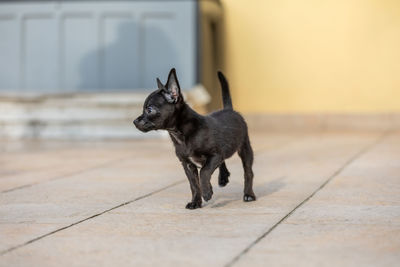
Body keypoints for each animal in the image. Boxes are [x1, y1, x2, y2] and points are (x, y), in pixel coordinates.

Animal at [133, 68, 255, 209]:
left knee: (248, 172)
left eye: (150, 109)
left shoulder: (215, 155)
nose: (134, 121)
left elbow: (204, 172)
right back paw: (223, 177)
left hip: (245, 149)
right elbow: (194, 185)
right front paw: (195, 202)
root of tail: (229, 109)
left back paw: (249, 194)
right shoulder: (188, 164)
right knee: (223, 162)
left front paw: (207, 192)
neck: (179, 135)